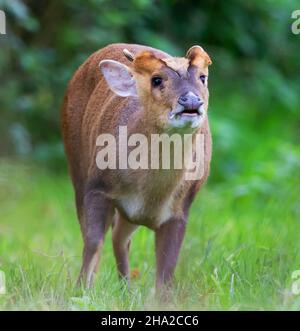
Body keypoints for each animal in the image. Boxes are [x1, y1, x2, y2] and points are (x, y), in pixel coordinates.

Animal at [61, 42, 212, 292]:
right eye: (156, 80)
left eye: (203, 77)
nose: (191, 101)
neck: (150, 192)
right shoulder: (97, 187)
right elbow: (92, 243)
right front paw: (81, 290)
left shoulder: (181, 208)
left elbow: (166, 270)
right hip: (77, 169)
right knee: (103, 236)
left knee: (119, 238)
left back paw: (126, 289)